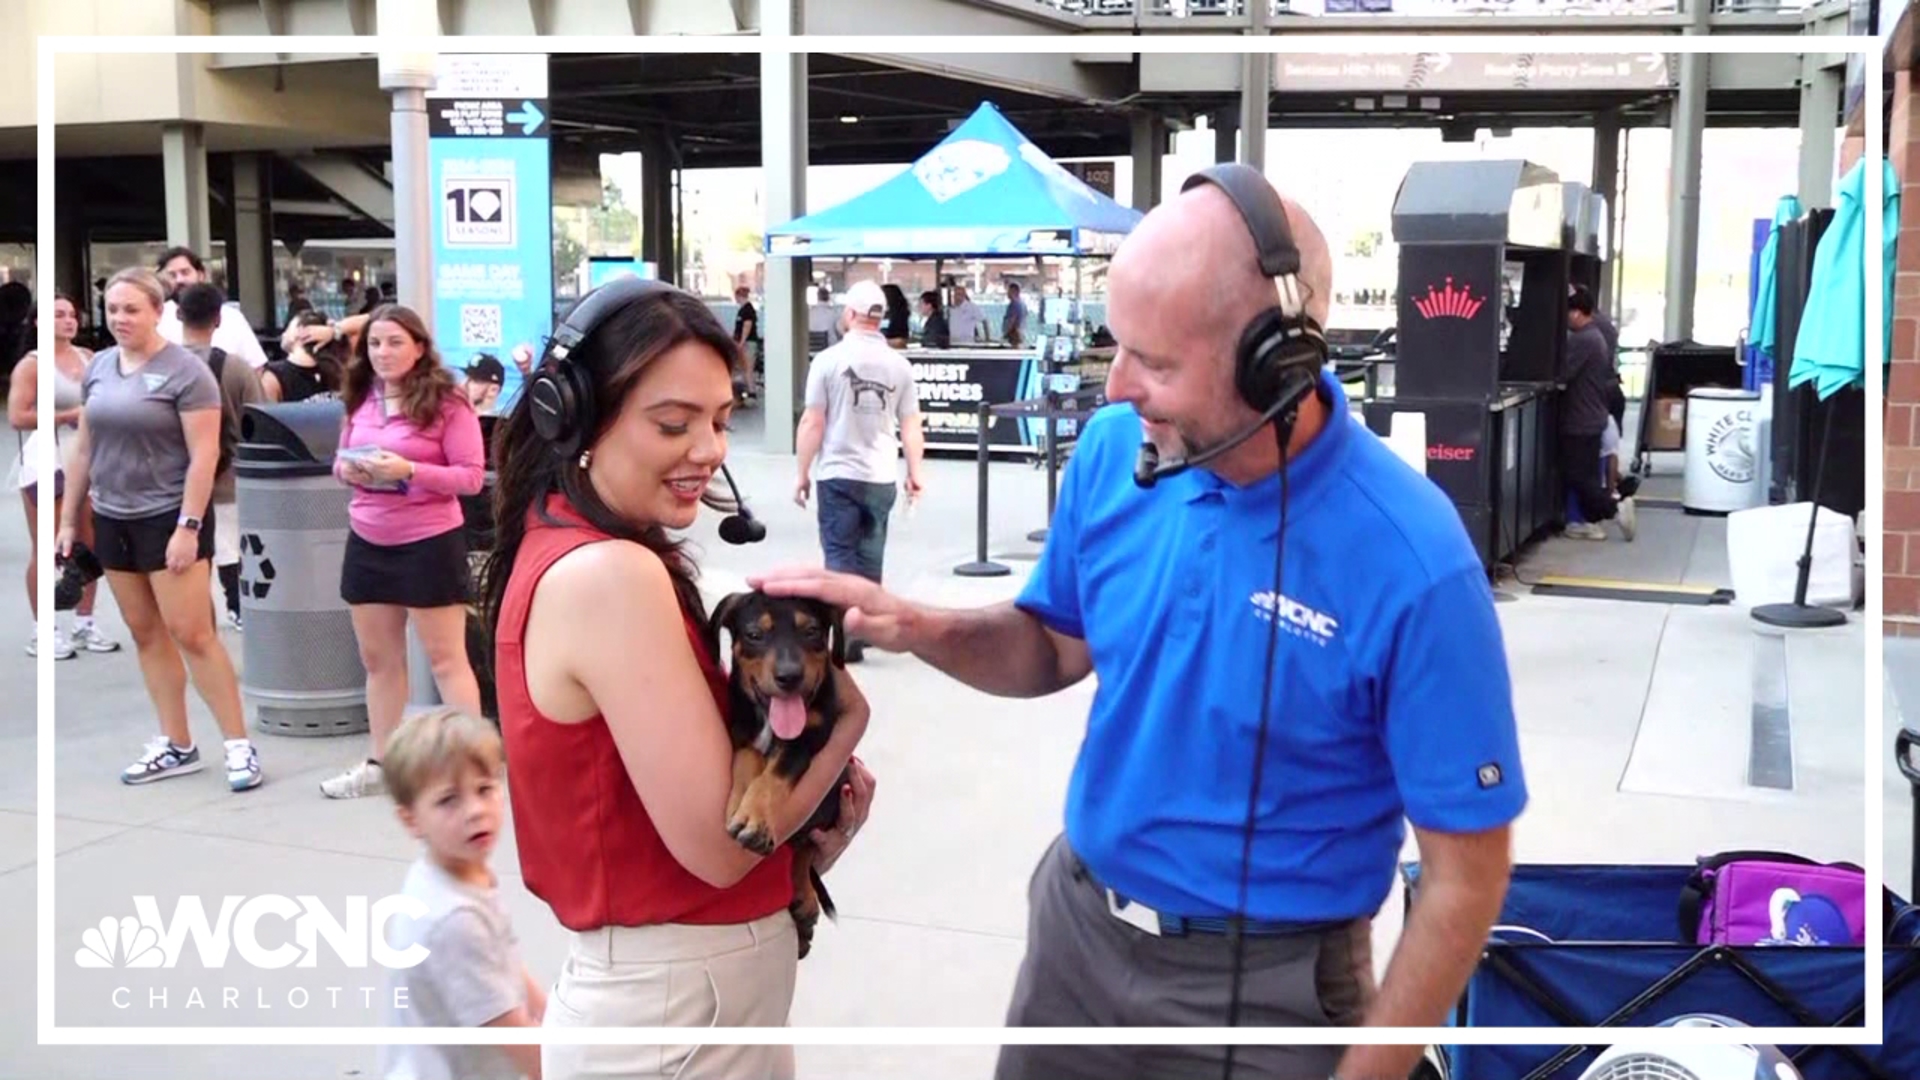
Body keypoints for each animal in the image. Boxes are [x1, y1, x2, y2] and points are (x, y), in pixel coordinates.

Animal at [710, 588, 852, 957]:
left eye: (812, 631)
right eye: (754, 634)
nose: (789, 677)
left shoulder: (808, 741)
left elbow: (773, 776)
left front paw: (754, 819)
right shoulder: (741, 732)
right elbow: (748, 762)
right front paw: (739, 806)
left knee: (805, 849)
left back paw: (804, 901)